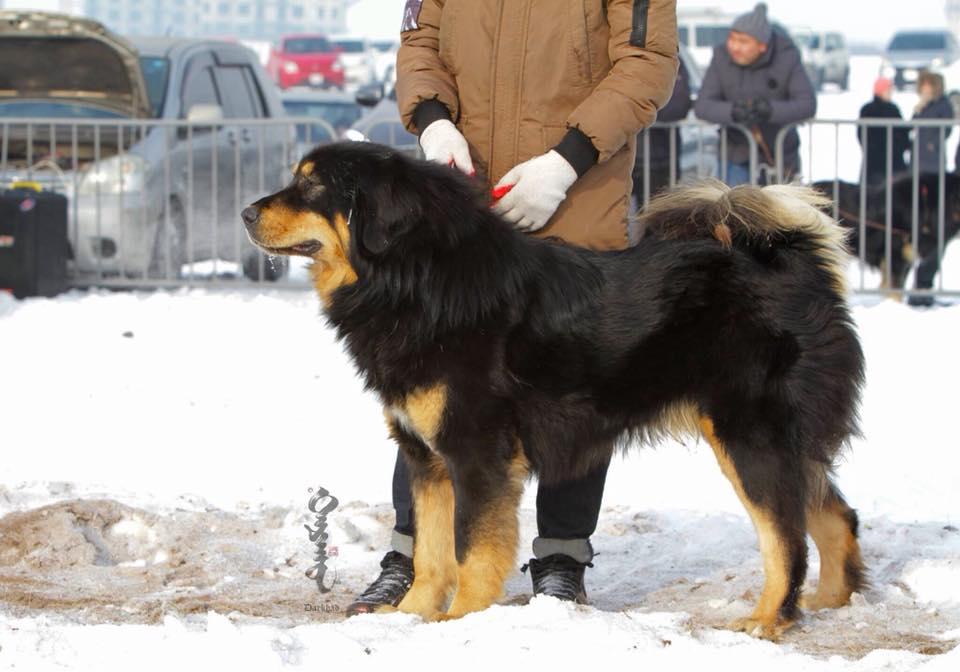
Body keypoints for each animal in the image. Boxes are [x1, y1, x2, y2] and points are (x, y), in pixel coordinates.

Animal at [244, 143, 868, 640]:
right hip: (779, 441)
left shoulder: (478, 452)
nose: (246, 212)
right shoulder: (427, 457)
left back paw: (769, 618)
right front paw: (412, 616)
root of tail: (788, 259)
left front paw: (460, 620)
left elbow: (471, 549)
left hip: (749, 438)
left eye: (312, 185)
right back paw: (831, 602)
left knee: (787, 537)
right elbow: (430, 552)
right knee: (835, 513)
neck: (417, 279)